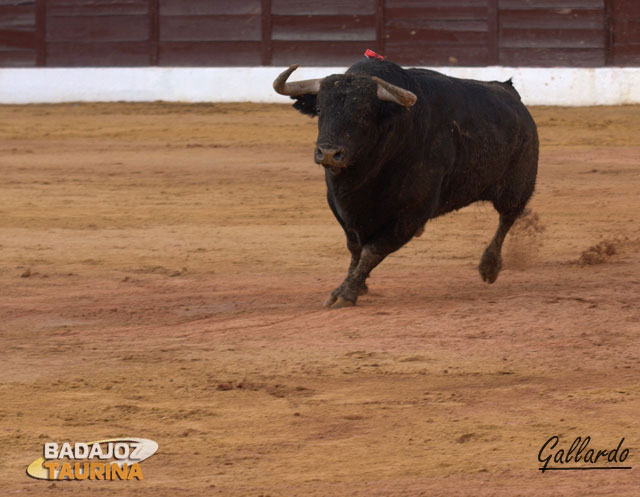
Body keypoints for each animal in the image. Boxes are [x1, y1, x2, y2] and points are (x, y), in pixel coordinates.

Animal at [272, 57, 536, 306]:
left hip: (517, 187)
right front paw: (357, 284)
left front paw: (345, 293)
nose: (328, 153)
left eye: (364, 115)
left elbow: (373, 250)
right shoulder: (341, 206)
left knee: (507, 219)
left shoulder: (412, 213)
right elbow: (355, 247)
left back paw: (489, 267)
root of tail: (512, 95)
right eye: (319, 109)